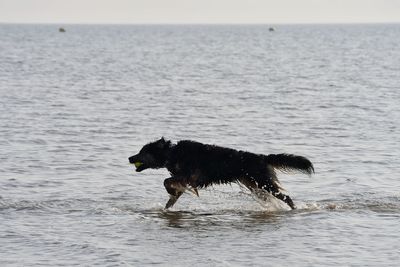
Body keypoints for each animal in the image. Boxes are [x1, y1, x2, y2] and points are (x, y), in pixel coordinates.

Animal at [127, 139, 312, 210]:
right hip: (255, 186)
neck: (171, 153)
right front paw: (167, 207)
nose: (130, 158)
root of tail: (262, 157)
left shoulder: (189, 177)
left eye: (142, 152)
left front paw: (169, 192)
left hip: (263, 183)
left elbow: (166, 181)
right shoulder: (184, 180)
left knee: (287, 197)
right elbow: (172, 194)